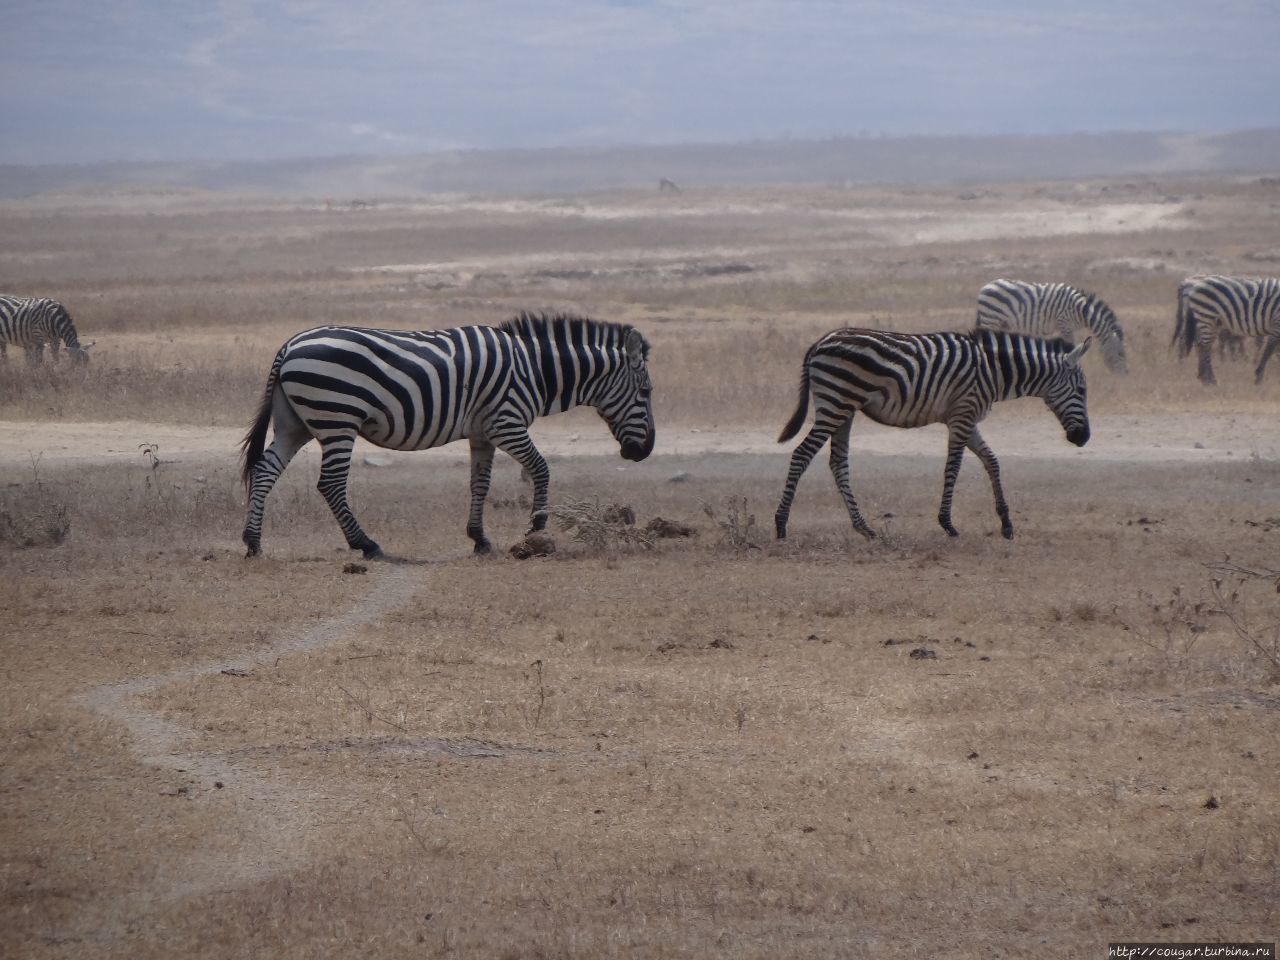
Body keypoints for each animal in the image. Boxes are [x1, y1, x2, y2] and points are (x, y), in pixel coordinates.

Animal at [241, 312, 660, 560]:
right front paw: (537, 530)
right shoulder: (507, 423)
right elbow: (542, 469)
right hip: (337, 418)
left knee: (265, 471)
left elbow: (480, 484)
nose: (643, 452)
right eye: (646, 392)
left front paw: (479, 539)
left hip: (295, 423)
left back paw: (253, 542)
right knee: (329, 483)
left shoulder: (482, 433)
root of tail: (289, 345)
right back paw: (366, 544)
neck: (536, 369)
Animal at [768, 330, 1090, 542]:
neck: (994, 371)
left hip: (845, 408)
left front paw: (1006, 523)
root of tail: (820, 342)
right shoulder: (962, 415)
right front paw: (947, 523)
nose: (1084, 438)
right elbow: (953, 468)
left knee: (837, 462)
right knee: (802, 454)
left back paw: (864, 528)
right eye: (1082, 390)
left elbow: (992, 461)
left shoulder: (967, 417)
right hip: (836, 402)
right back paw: (781, 524)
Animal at [972, 280, 1126, 373]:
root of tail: (985, 288)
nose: (1125, 375)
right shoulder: (1064, 323)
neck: (1081, 310)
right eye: (1120, 353)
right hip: (991, 318)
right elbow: (1071, 345)